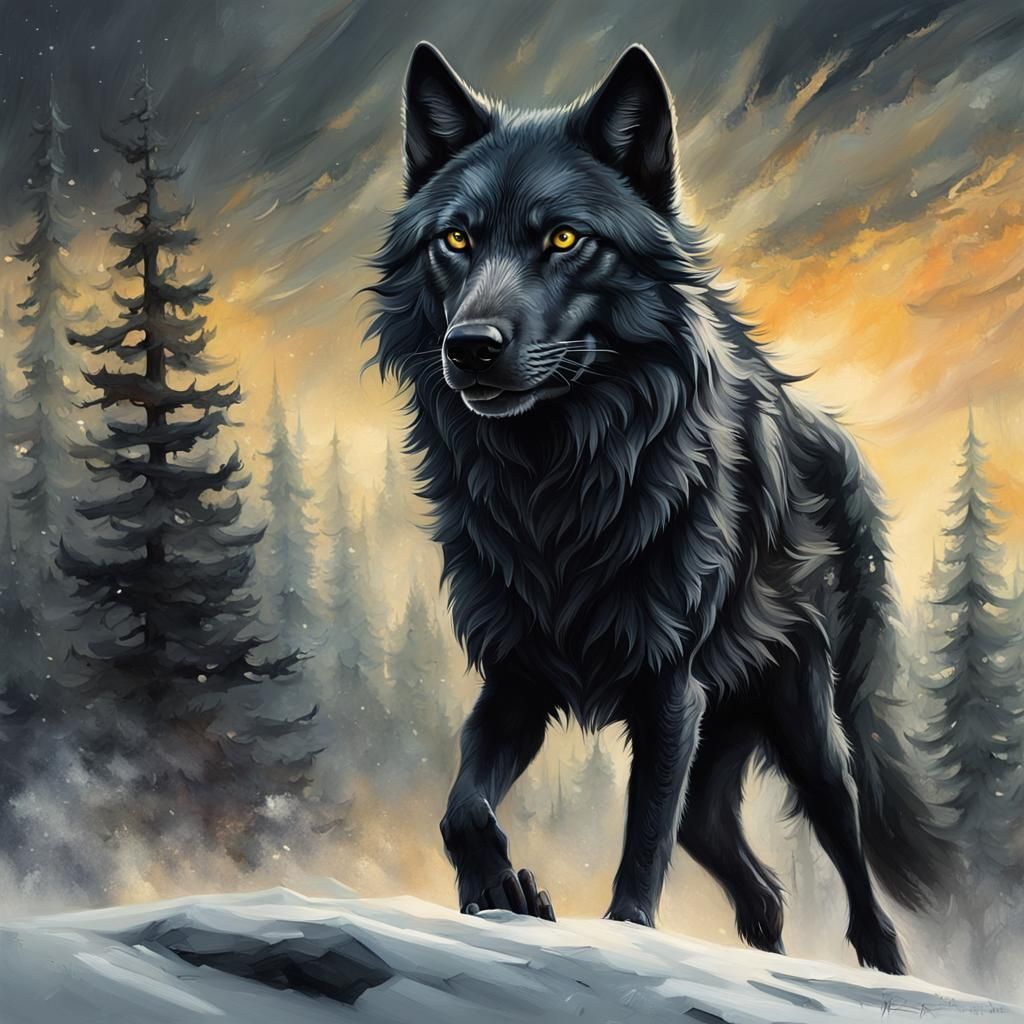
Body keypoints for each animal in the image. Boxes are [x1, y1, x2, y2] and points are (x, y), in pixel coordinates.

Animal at [368, 42, 953, 974]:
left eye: (565, 238)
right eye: (455, 239)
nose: (470, 348)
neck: (556, 485)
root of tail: (837, 439)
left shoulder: (668, 686)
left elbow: (641, 841)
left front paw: (623, 934)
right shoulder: (517, 677)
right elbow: (463, 807)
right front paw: (501, 891)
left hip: (805, 725)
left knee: (852, 869)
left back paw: (887, 970)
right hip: (723, 740)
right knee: (747, 871)